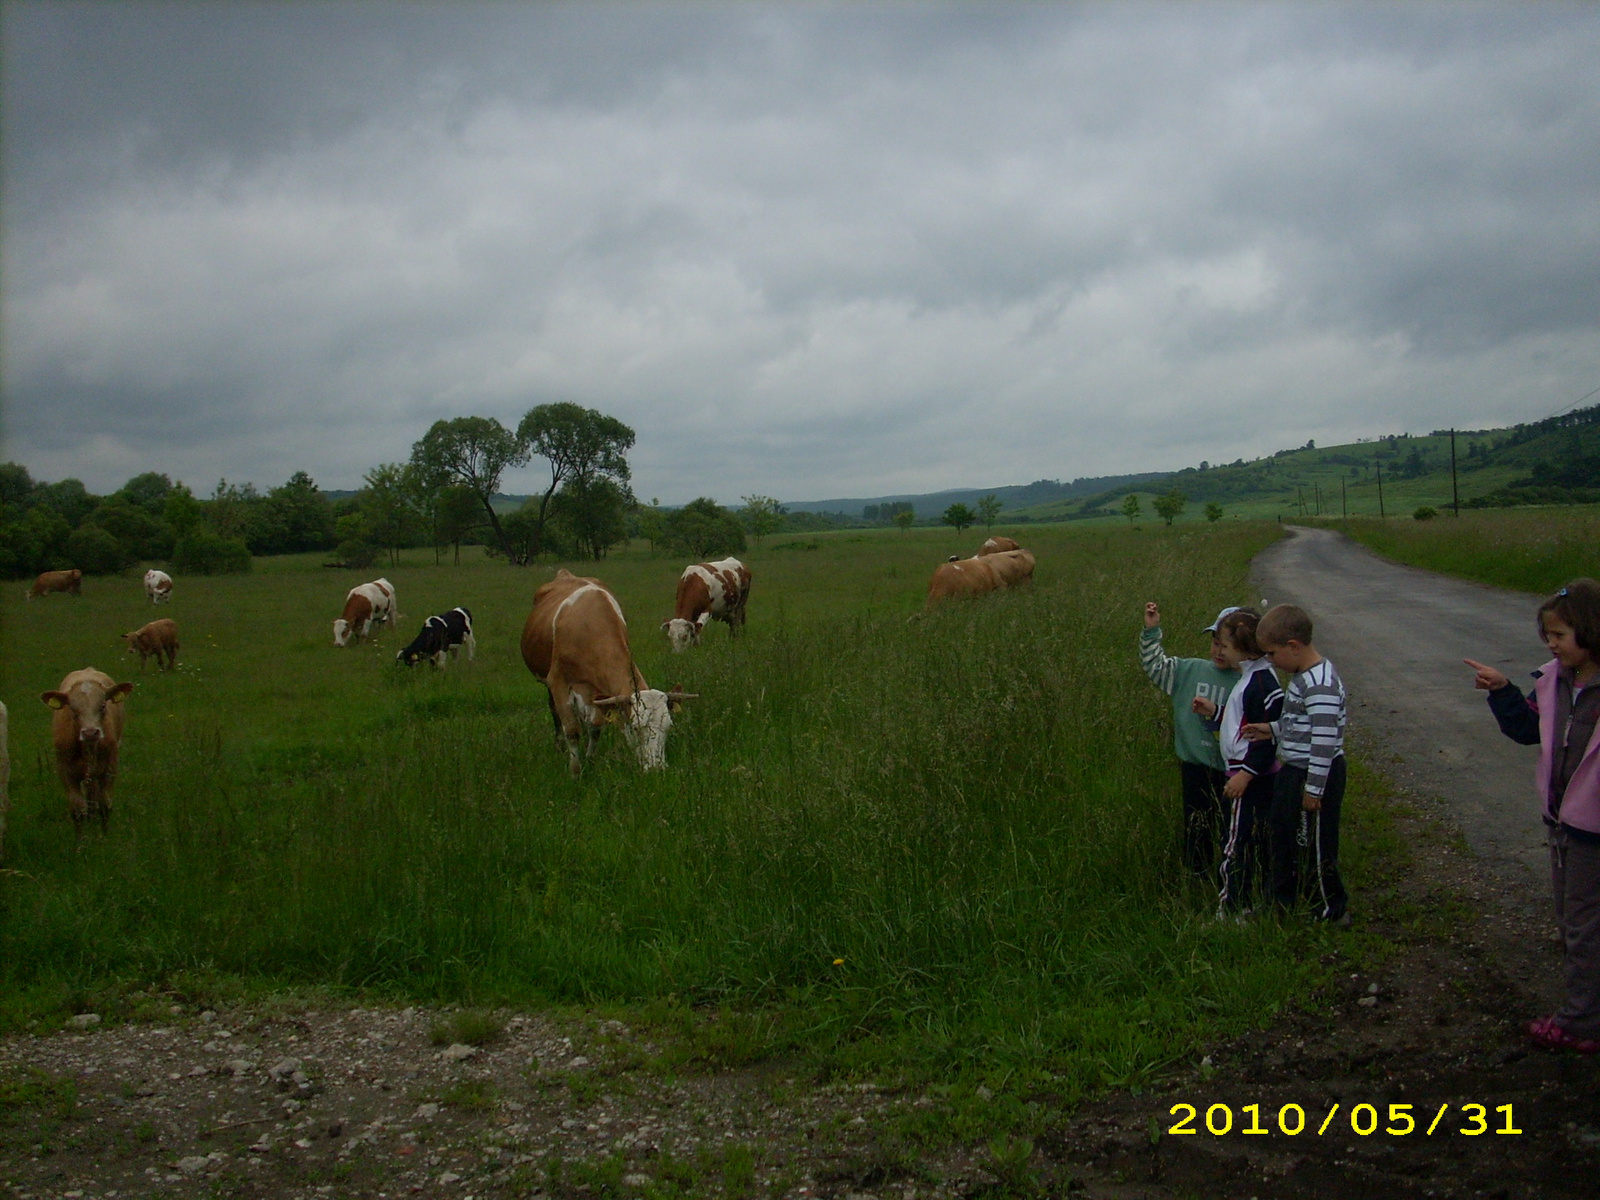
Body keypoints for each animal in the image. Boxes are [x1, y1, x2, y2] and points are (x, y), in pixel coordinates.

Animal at [40, 668, 132, 838]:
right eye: (73, 709)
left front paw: (104, 838)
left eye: (102, 706)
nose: (90, 732)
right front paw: (80, 842)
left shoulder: (110, 768)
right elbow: (77, 809)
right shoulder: (65, 770)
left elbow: (105, 804)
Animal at [521, 569, 697, 774]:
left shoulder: (597, 693)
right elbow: (572, 730)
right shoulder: (559, 682)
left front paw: (590, 760)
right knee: (555, 712)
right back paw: (559, 746)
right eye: (636, 727)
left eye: (668, 727)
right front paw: (575, 771)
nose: (656, 768)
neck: (589, 626)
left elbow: (596, 727)